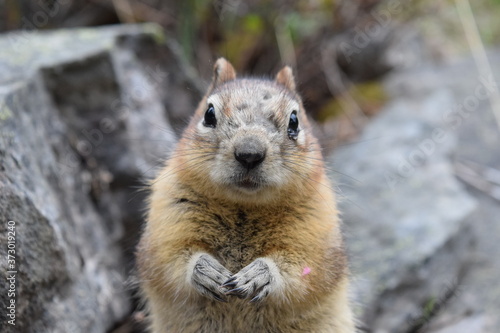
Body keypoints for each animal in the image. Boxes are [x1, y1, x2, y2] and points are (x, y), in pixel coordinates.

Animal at [137, 58, 356, 330]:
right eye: (209, 114)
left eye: (294, 121)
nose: (249, 153)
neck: (244, 205)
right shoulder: (168, 218)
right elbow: (167, 259)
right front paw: (206, 271)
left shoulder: (315, 230)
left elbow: (305, 268)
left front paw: (257, 275)